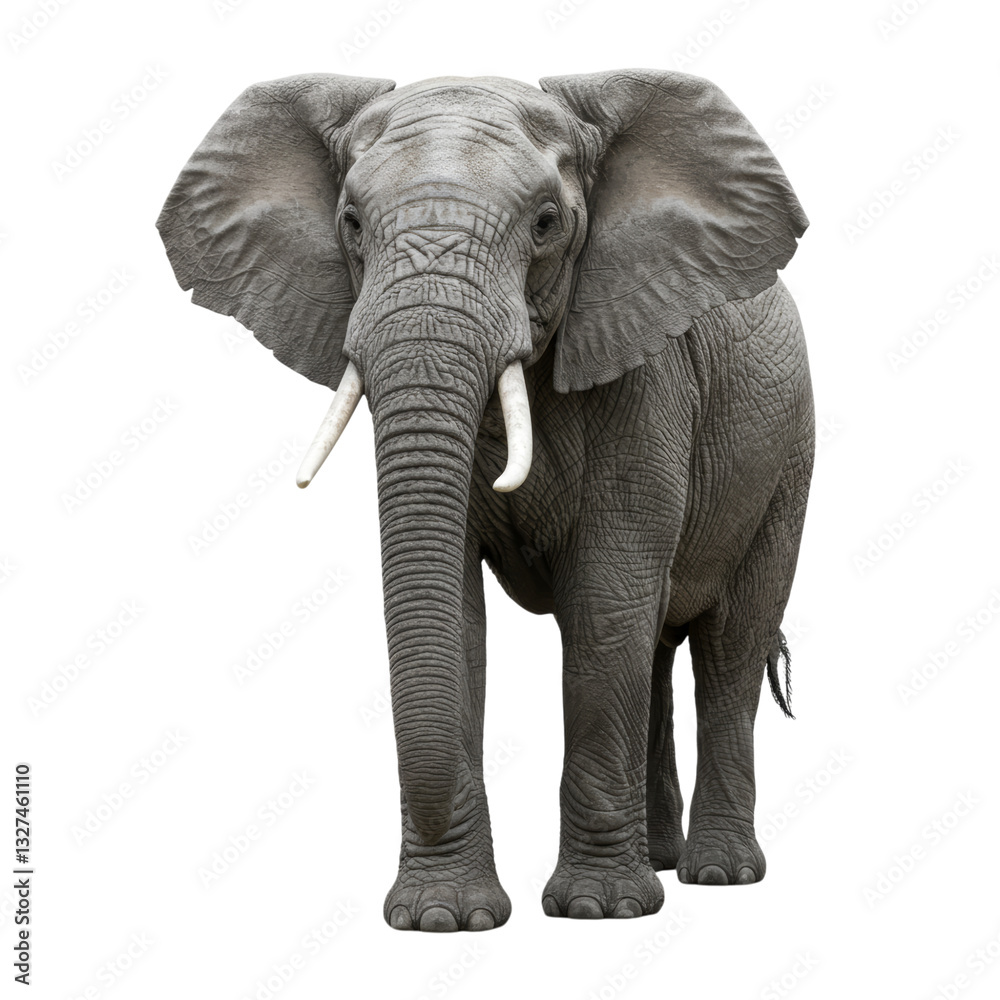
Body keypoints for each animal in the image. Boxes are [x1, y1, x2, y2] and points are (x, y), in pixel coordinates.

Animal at [157, 68, 813, 932]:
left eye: (546, 224)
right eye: (351, 223)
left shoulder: (646, 377)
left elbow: (605, 602)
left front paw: (597, 911)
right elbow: (457, 614)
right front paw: (444, 918)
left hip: (789, 455)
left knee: (729, 648)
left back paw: (718, 875)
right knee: (660, 653)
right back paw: (667, 862)